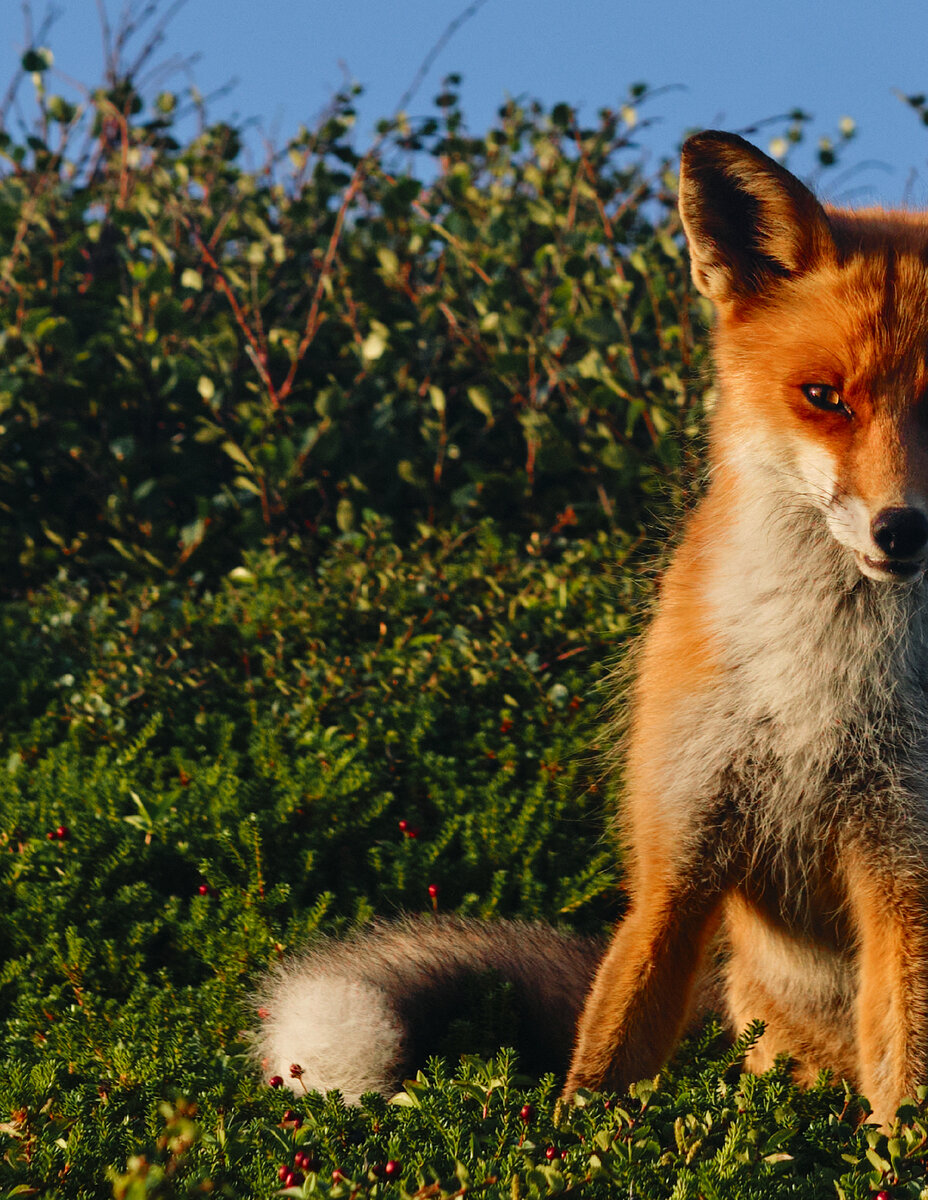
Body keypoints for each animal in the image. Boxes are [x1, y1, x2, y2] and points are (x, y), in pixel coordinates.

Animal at [253, 136, 928, 1128]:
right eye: (824, 396)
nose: (902, 531)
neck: (819, 682)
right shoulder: (676, 859)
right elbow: (606, 1057)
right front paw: (583, 1145)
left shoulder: (903, 872)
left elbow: (907, 1086)